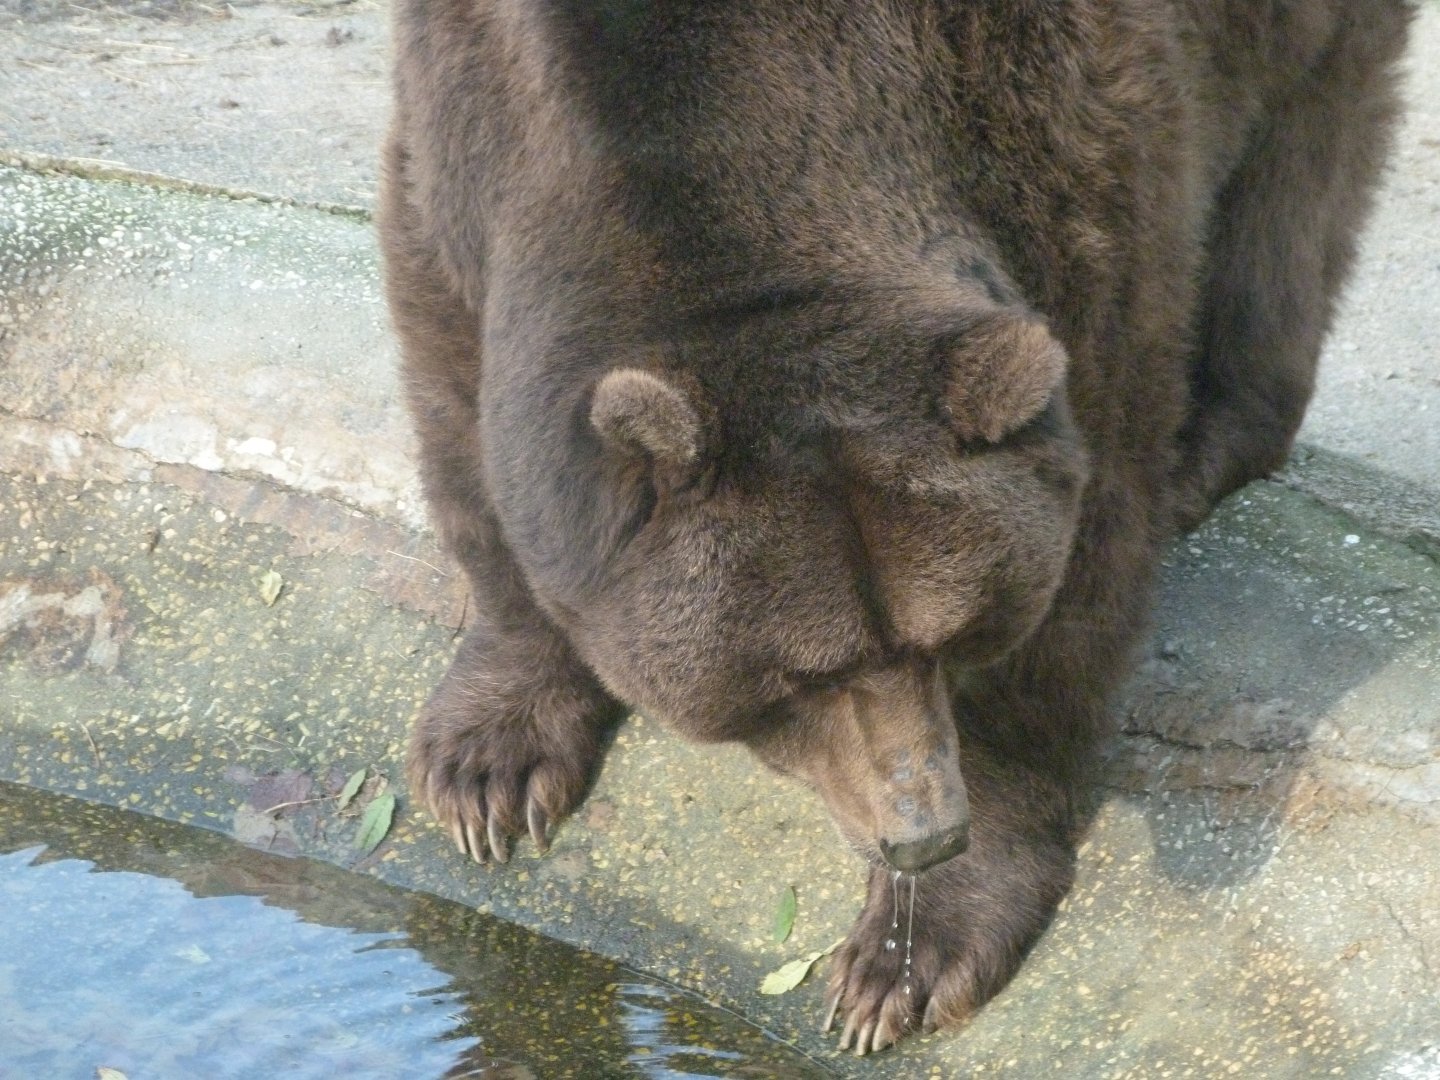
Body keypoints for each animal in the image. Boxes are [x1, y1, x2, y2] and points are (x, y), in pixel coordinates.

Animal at [378, 0, 1412, 1055]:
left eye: (950, 637)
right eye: (798, 677)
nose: (921, 834)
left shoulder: (1068, 145)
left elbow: (1093, 508)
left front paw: (908, 955)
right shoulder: (471, 130)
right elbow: (459, 394)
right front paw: (486, 769)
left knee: (1300, 164)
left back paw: (1211, 440)